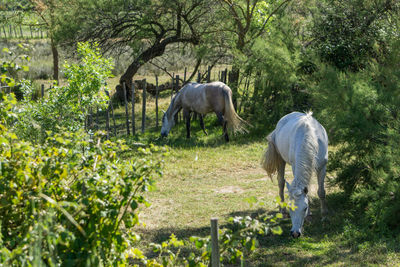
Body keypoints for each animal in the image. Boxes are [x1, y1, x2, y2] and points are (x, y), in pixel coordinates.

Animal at [262, 111, 328, 239]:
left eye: (305, 208)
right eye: (290, 207)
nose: (295, 233)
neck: (310, 139)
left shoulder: (322, 167)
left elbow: (321, 192)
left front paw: (323, 216)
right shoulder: (294, 166)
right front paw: (309, 216)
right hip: (281, 160)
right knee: (281, 183)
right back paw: (282, 211)